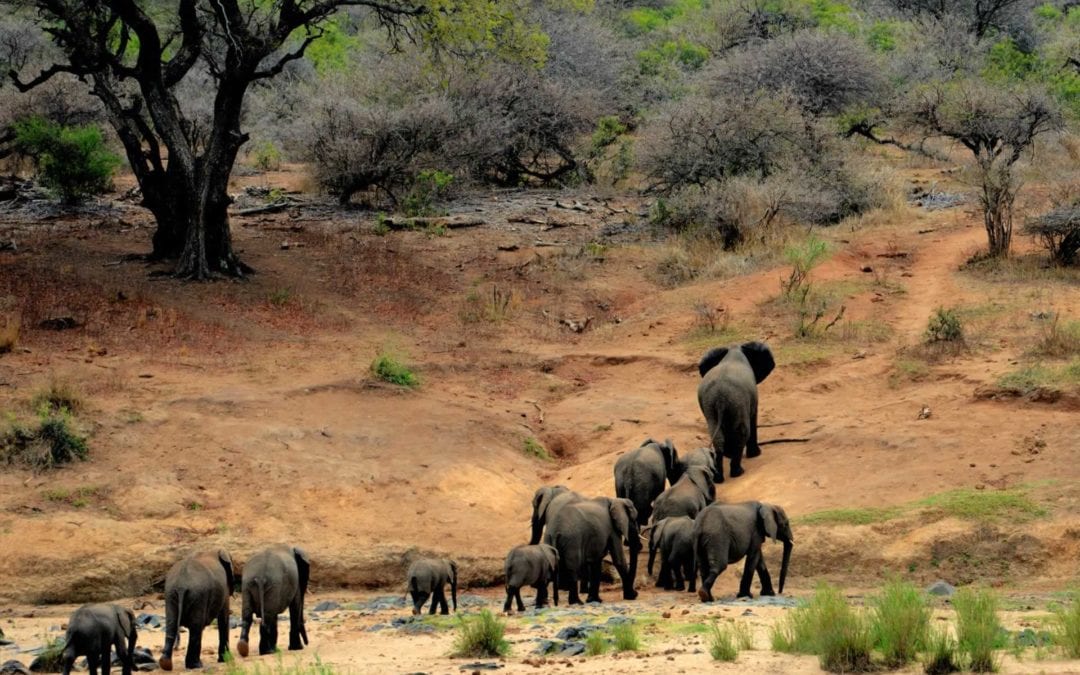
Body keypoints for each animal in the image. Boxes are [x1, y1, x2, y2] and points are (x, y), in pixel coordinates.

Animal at [699, 341, 777, 479]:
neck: (734, 350)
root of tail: (720, 397)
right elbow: (753, 417)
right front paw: (756, 454)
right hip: (737, 401)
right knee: (742, 432)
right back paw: (738, 472)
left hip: (710, 404)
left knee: (717, 435)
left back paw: (719, 477)